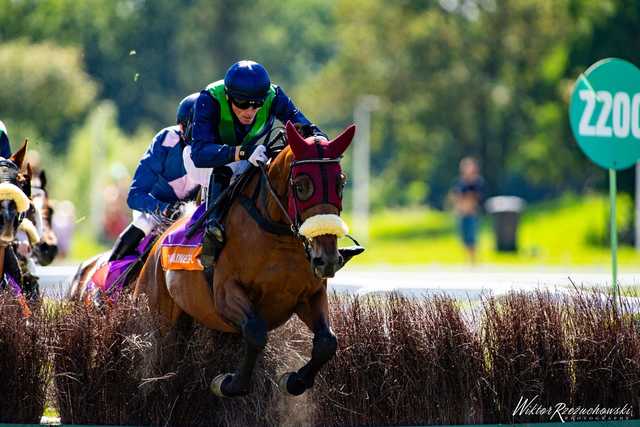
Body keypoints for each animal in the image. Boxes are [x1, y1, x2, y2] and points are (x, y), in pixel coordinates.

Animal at [134, 121, 356, 398]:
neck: (278, 235)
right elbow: (255, 331)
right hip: (159, 317)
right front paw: (228, 383)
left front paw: (294, 381)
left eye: (340, 184)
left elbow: (327, 341)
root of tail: (157, 245)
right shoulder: (225, 292)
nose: (326, 259)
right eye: (302, 186)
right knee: (162, 358)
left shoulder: (310, 295)